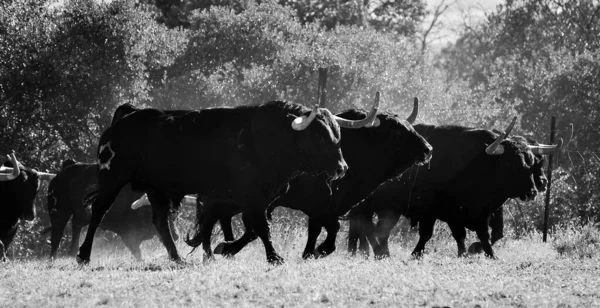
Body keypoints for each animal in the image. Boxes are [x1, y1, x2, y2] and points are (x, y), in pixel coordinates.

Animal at [46, 161, 179, 260]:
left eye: (173, 215)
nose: (176, 236)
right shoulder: (126, 233)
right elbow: (137, 252)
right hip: (59, 212)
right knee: (56, 236)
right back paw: (53, 258)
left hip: (81, 216)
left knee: (76, 225)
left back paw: (73, 251)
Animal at [78, 97, 380, 264]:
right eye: (317, 137)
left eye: (336, 133)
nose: (342, 168)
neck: (267, 139)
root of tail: (127, 117)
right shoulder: (252, 199)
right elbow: (260, 228)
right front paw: (273, 257)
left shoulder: (250, 200)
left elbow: (248, 229)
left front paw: (225, 248)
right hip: (112, 178)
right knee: (98, 212)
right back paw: (83, 255)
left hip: (157, 190)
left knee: (161, 223)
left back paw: (177, 258)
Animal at [185, 101, 434, 260]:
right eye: (397, 132)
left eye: (410, 127)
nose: (428, 149)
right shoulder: (320, 208)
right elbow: (328, 230)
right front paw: (315, 251)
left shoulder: (331, 208)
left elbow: (320, 231)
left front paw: (310, 252)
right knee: (210, 222)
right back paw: (214, 252)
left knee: (224, 223)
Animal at [344, 121, 560, 258]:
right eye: (510, 163)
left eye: (532, 161)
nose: (534, 190)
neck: (476, 163)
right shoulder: (437, 212)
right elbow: (432, 234)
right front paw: (416, 254)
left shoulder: (481, 213)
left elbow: (485, 236)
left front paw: (485, 254)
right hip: (365, 206)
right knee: (365, 228)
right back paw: (368, 252)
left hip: (388, 209)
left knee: (379, 230)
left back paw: (377, 252)